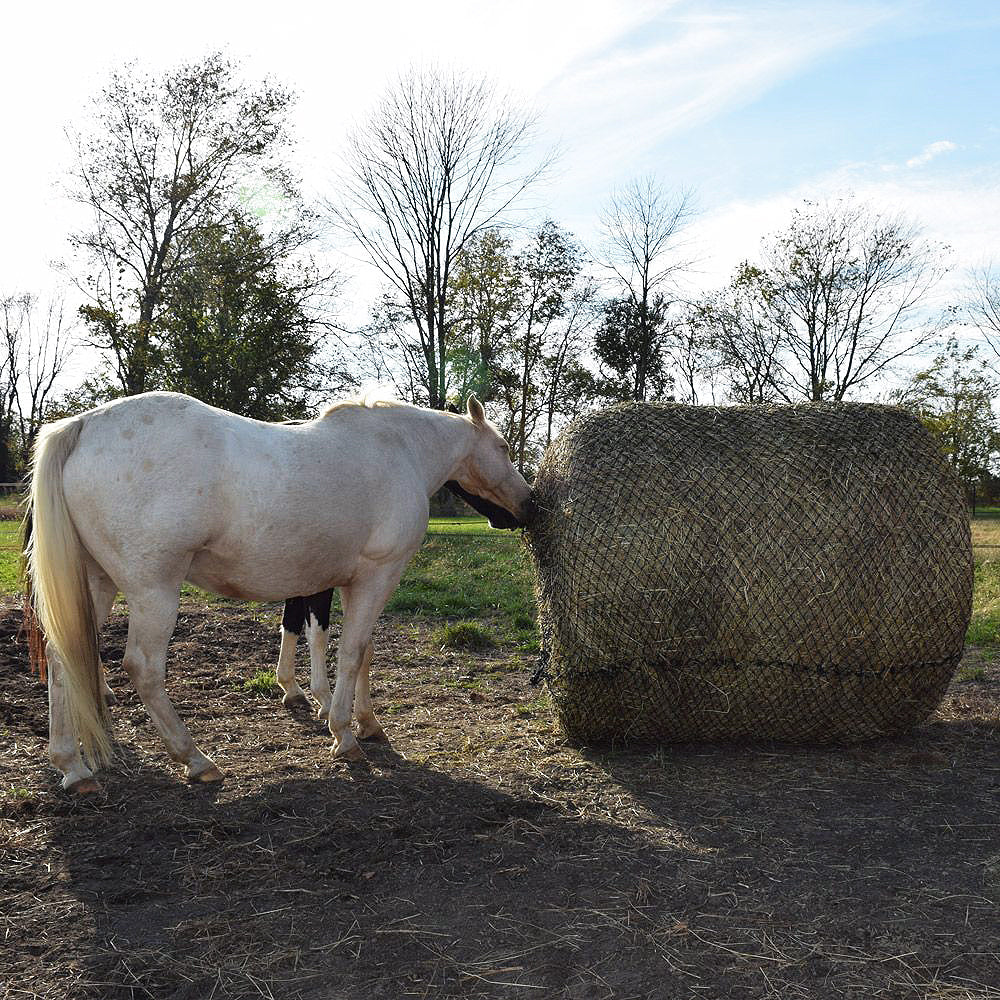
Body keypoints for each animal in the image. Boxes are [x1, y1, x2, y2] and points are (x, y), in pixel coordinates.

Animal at [23, 391, 535, 794]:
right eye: (504, 447)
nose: (529, 506)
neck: (400, 449)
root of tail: (82, 426)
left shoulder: (354, 582)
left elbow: (362, 651)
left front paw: (368, 723)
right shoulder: (377, 576)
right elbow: (350, 652)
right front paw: (345, 734)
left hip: (96, 585)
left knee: (64, 660)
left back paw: (72, 767)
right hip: (154, 591)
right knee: (143, 669)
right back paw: (195, 760)